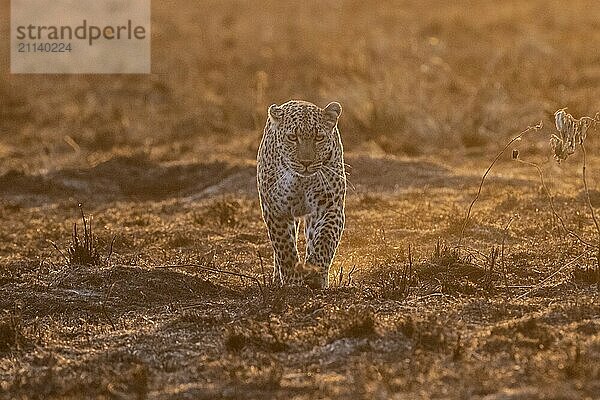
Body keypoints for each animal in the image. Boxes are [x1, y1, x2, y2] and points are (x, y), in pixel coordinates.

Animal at [256, 99, 346, 288]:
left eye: (318, 138)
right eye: (292, 137)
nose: (306, 162)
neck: (302, 181)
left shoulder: (330, 206)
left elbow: (325, 239)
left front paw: (314, 272)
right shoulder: (276, 210)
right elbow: (285, 249)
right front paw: (293, 281)